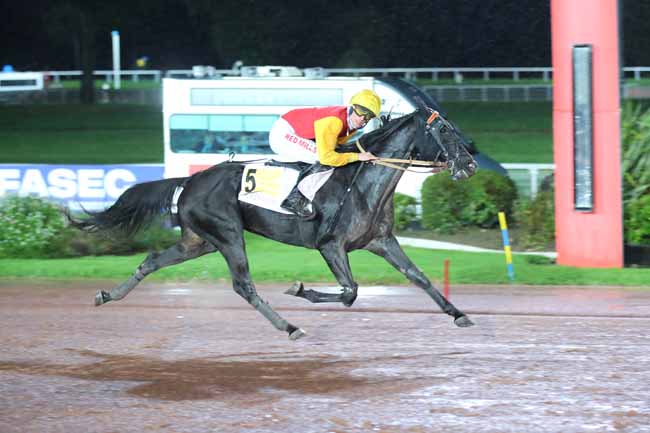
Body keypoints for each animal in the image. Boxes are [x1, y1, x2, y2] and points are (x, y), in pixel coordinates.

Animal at [68, 109, 476, 340]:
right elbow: (350, 292)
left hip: (199, 240)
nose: (470, 165)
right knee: (243, 285)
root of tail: (190, 180)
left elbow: (418, 277)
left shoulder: (380, 240)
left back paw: (107, 295)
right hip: (228, 234)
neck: (362, 183)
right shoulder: (330, 245)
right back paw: (290, 327)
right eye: (445, 131)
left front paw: (458, 314)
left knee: (152, 260)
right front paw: (299, 289)